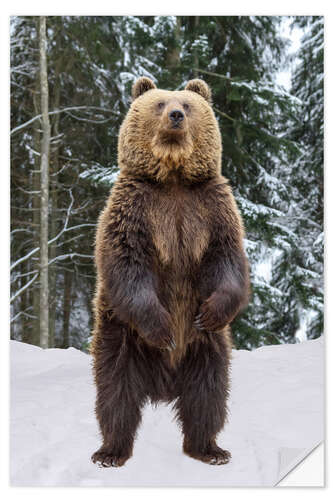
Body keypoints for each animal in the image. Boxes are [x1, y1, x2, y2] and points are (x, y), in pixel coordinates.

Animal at [89, 76, 248, 466]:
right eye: (160, 103)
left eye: (187, 104)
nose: (176, 115)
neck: (173, 178)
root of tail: (163, 385)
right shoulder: (135, 209)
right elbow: (128, 265)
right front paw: (163, 329)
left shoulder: (211, 209)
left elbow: (226, 260)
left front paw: (212, 312)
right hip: (121, 336)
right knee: (115, 393)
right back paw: (110, 451)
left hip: (207, 348)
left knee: (209, 394)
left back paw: (210, 448)